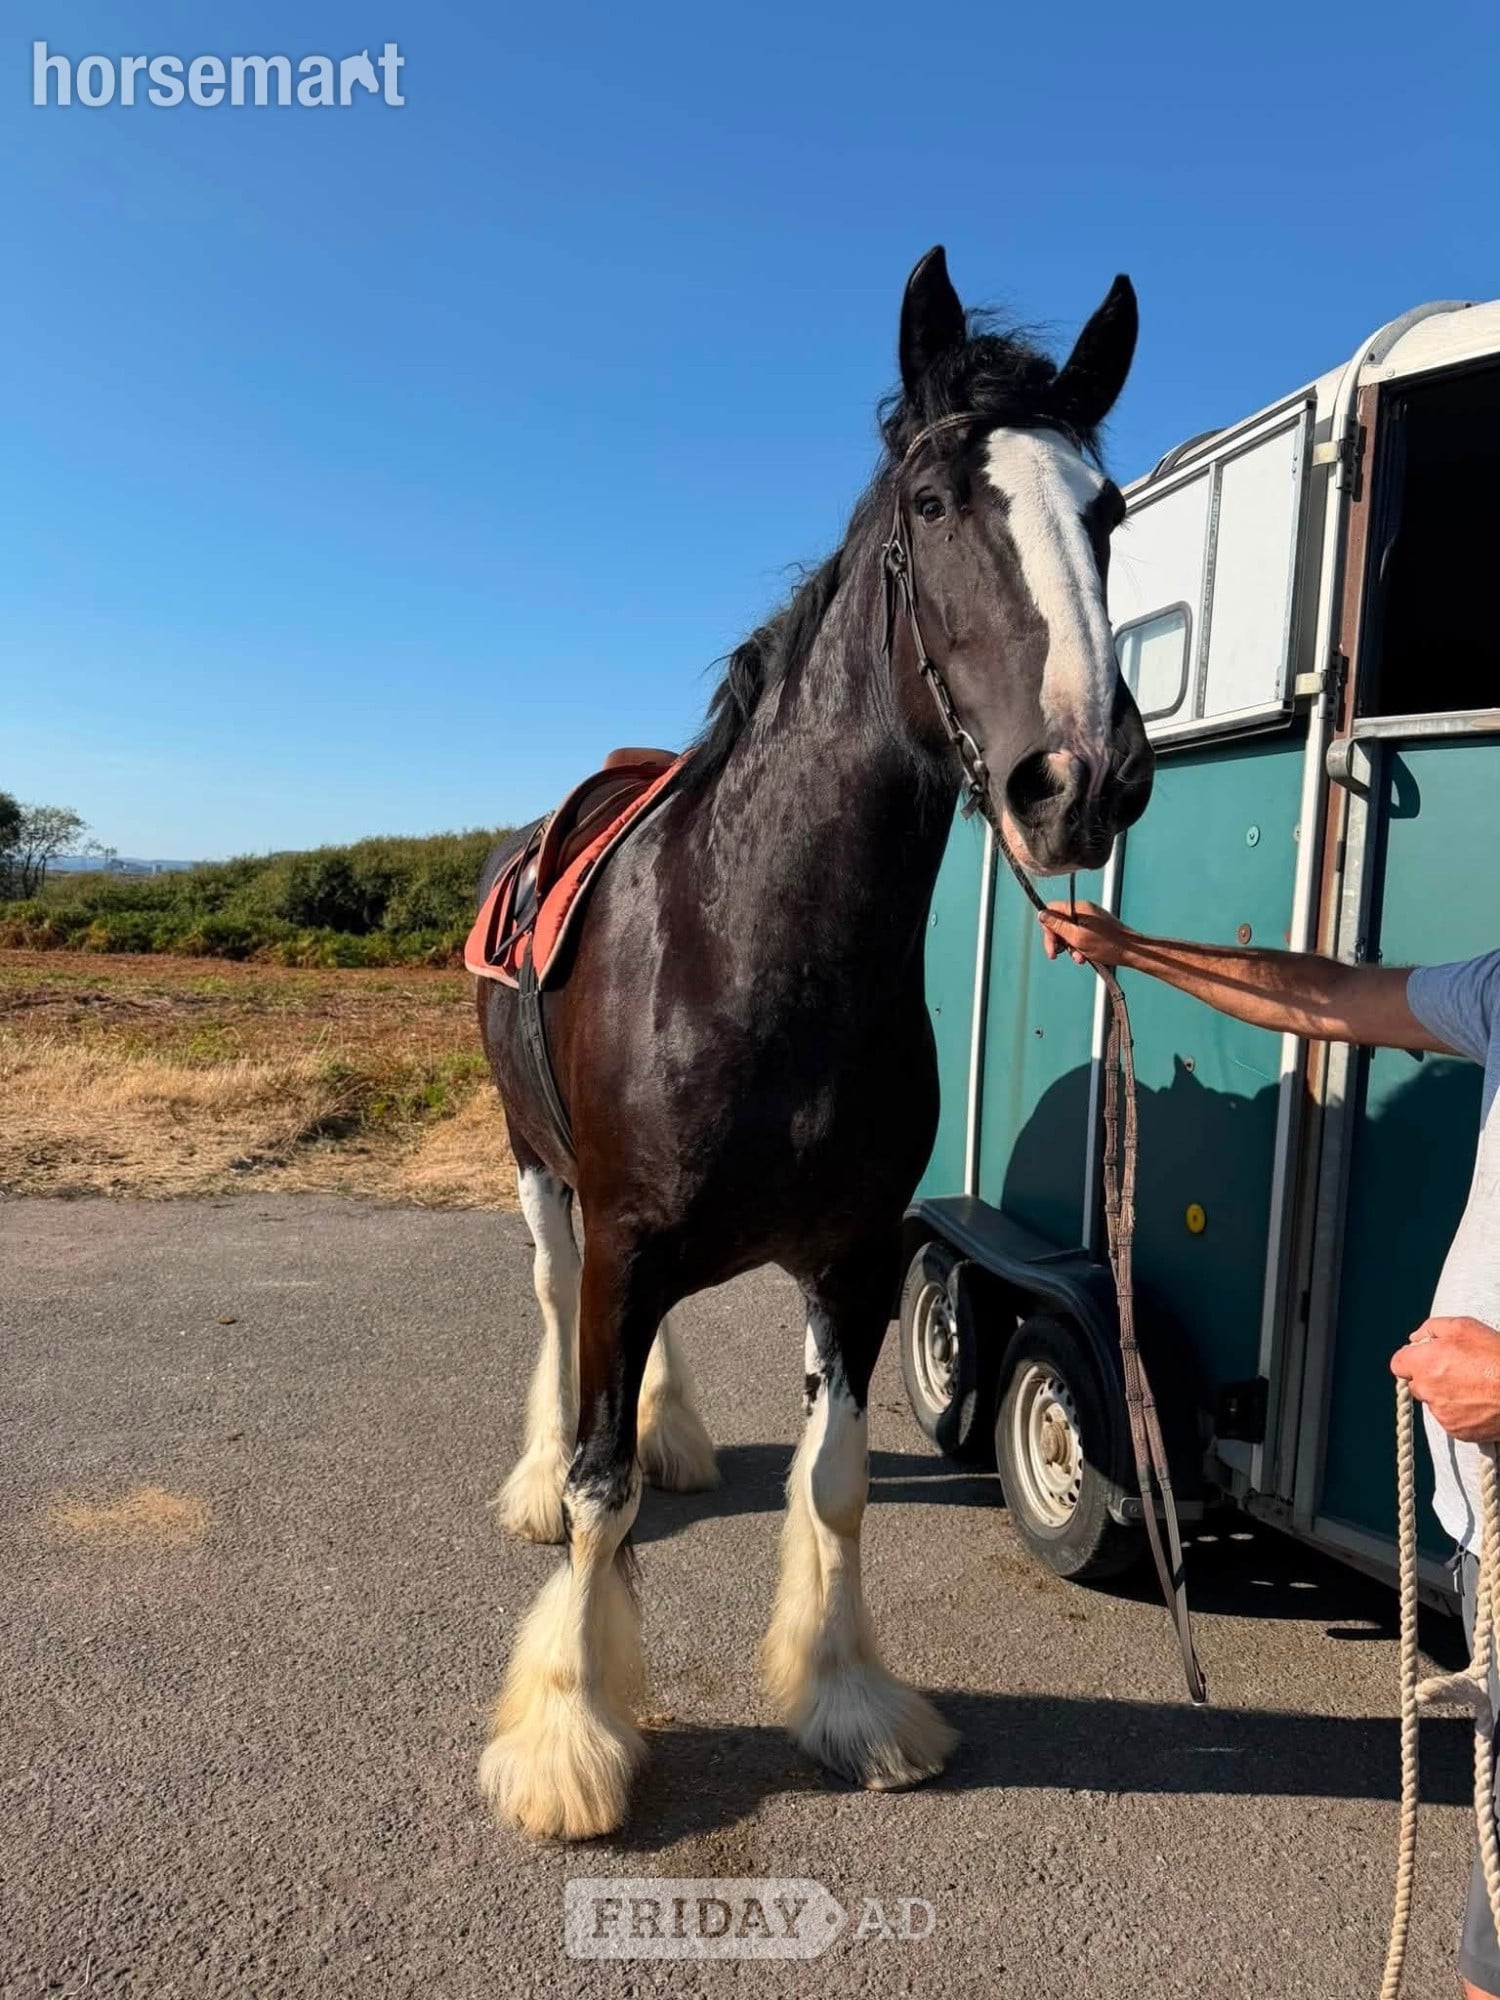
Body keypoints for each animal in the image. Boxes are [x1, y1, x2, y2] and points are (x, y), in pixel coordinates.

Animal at [475, 246, 1153, 1840]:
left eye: (1106, 511)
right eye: (935, 502)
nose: (1082, 777)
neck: (747, 946)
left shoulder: (848, 1263)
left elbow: (837, 1483)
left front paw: (850, 1703)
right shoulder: (625, 1239)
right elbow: (594, 1489)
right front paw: (571, 1736)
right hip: (543, 1174)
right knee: (551, 1309)